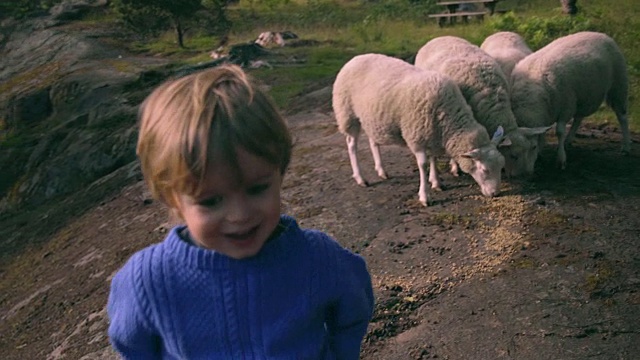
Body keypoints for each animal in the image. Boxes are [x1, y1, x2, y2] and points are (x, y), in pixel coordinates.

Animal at [332, 52, 508, 207]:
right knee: (351, 144)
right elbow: (423, 165)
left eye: (501, 166)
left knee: (373, 141)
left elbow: (434, 158)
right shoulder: (417, 137)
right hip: (347, 113)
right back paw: (360, 178)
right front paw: (425, 196)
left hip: (371, 118)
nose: (495, 194)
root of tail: (355, 58)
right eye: (485, 170)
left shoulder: (433, 135)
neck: (448, 115)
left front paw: (436, 182)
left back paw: (381, 170)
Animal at [416, 35, 552, 177]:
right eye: (513, 155)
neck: (490, 95)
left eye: (532, 148)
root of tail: (441, 36)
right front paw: (455, 166)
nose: (524, 175)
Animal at [510, 30, 632, 169]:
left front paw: (560, 159)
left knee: (622, 116)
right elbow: (544, 132)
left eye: (532, 147)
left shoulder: (566, 107)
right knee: (579, 118)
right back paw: (569, 140)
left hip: (618, 85)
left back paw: (626, 147)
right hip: (582, 97)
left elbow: (559, 131)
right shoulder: (553, 109)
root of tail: (600, 34)